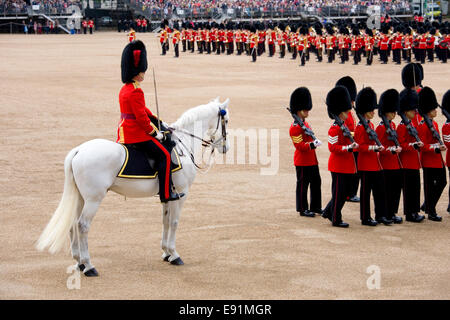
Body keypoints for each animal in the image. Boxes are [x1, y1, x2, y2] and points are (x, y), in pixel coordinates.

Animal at [37, 96, 230, 276]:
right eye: (226, 121)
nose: (226, 148)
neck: (183, 143)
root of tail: (78, 150)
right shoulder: (182, 193)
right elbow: (174, 222)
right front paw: (174, 254)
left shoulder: (168, 195)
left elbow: (166, 221)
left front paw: (166, 253)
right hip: (93, 200)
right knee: (82, 226)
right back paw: (89, 265)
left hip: (80, 198)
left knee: (72, 224)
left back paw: (79, 263)